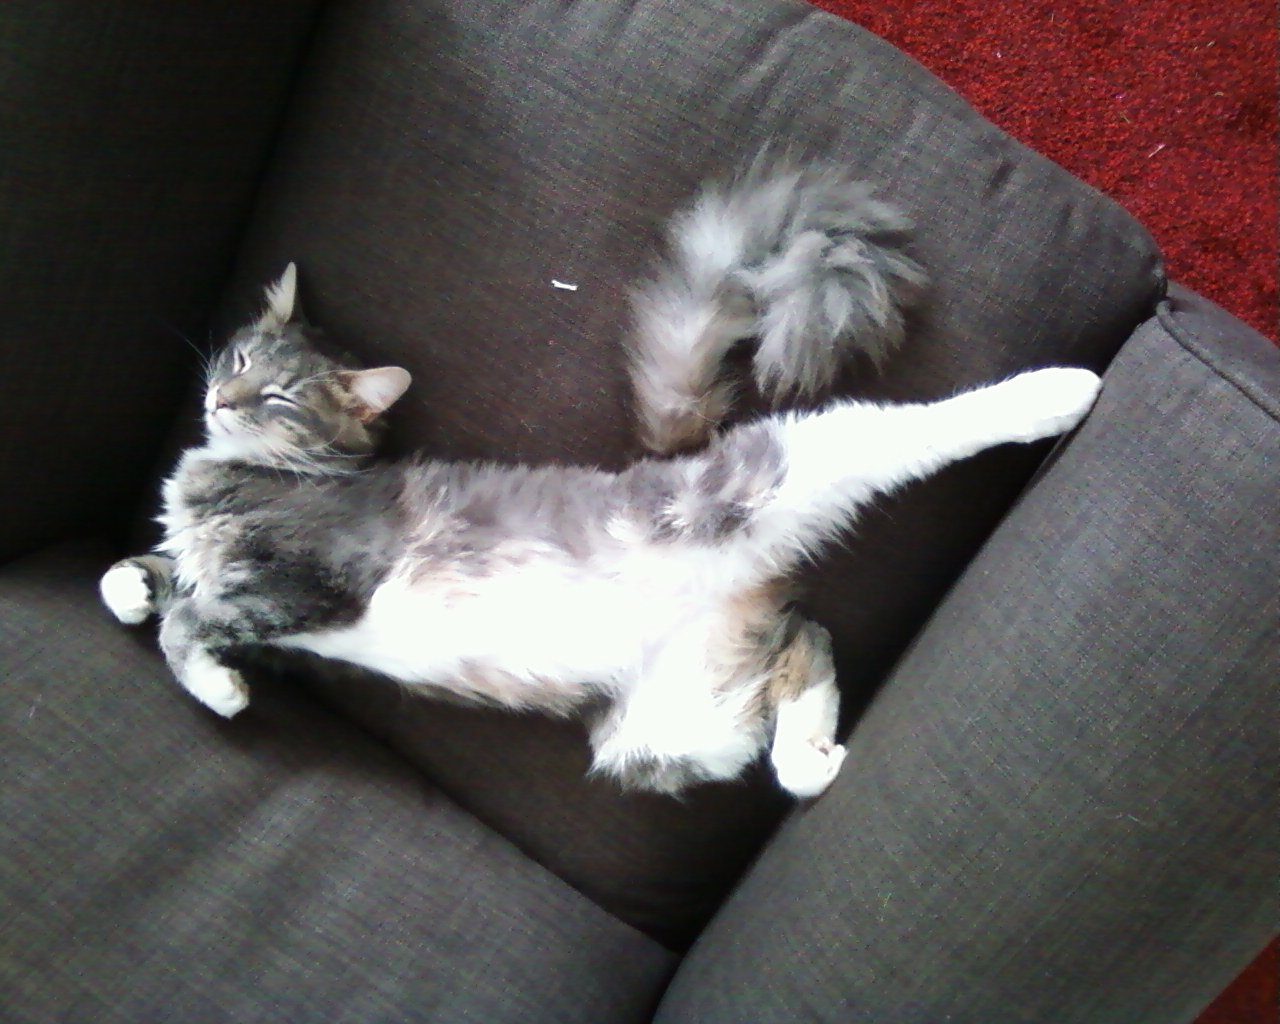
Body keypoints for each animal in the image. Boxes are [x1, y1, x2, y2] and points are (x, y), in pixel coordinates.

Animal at [99, 159, 1101, 799]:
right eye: (236, 355)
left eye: (276, 395)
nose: (220, 397)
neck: (237, 476)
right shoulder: (246, 590)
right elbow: (162, 578)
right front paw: (132, 584)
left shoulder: (313, 581)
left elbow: (191, 621)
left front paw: (218, 686)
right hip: (668, 732)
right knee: (801, 648)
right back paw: (813, 753)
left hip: (768, 473)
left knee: (905, 431)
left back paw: (1059, 392)